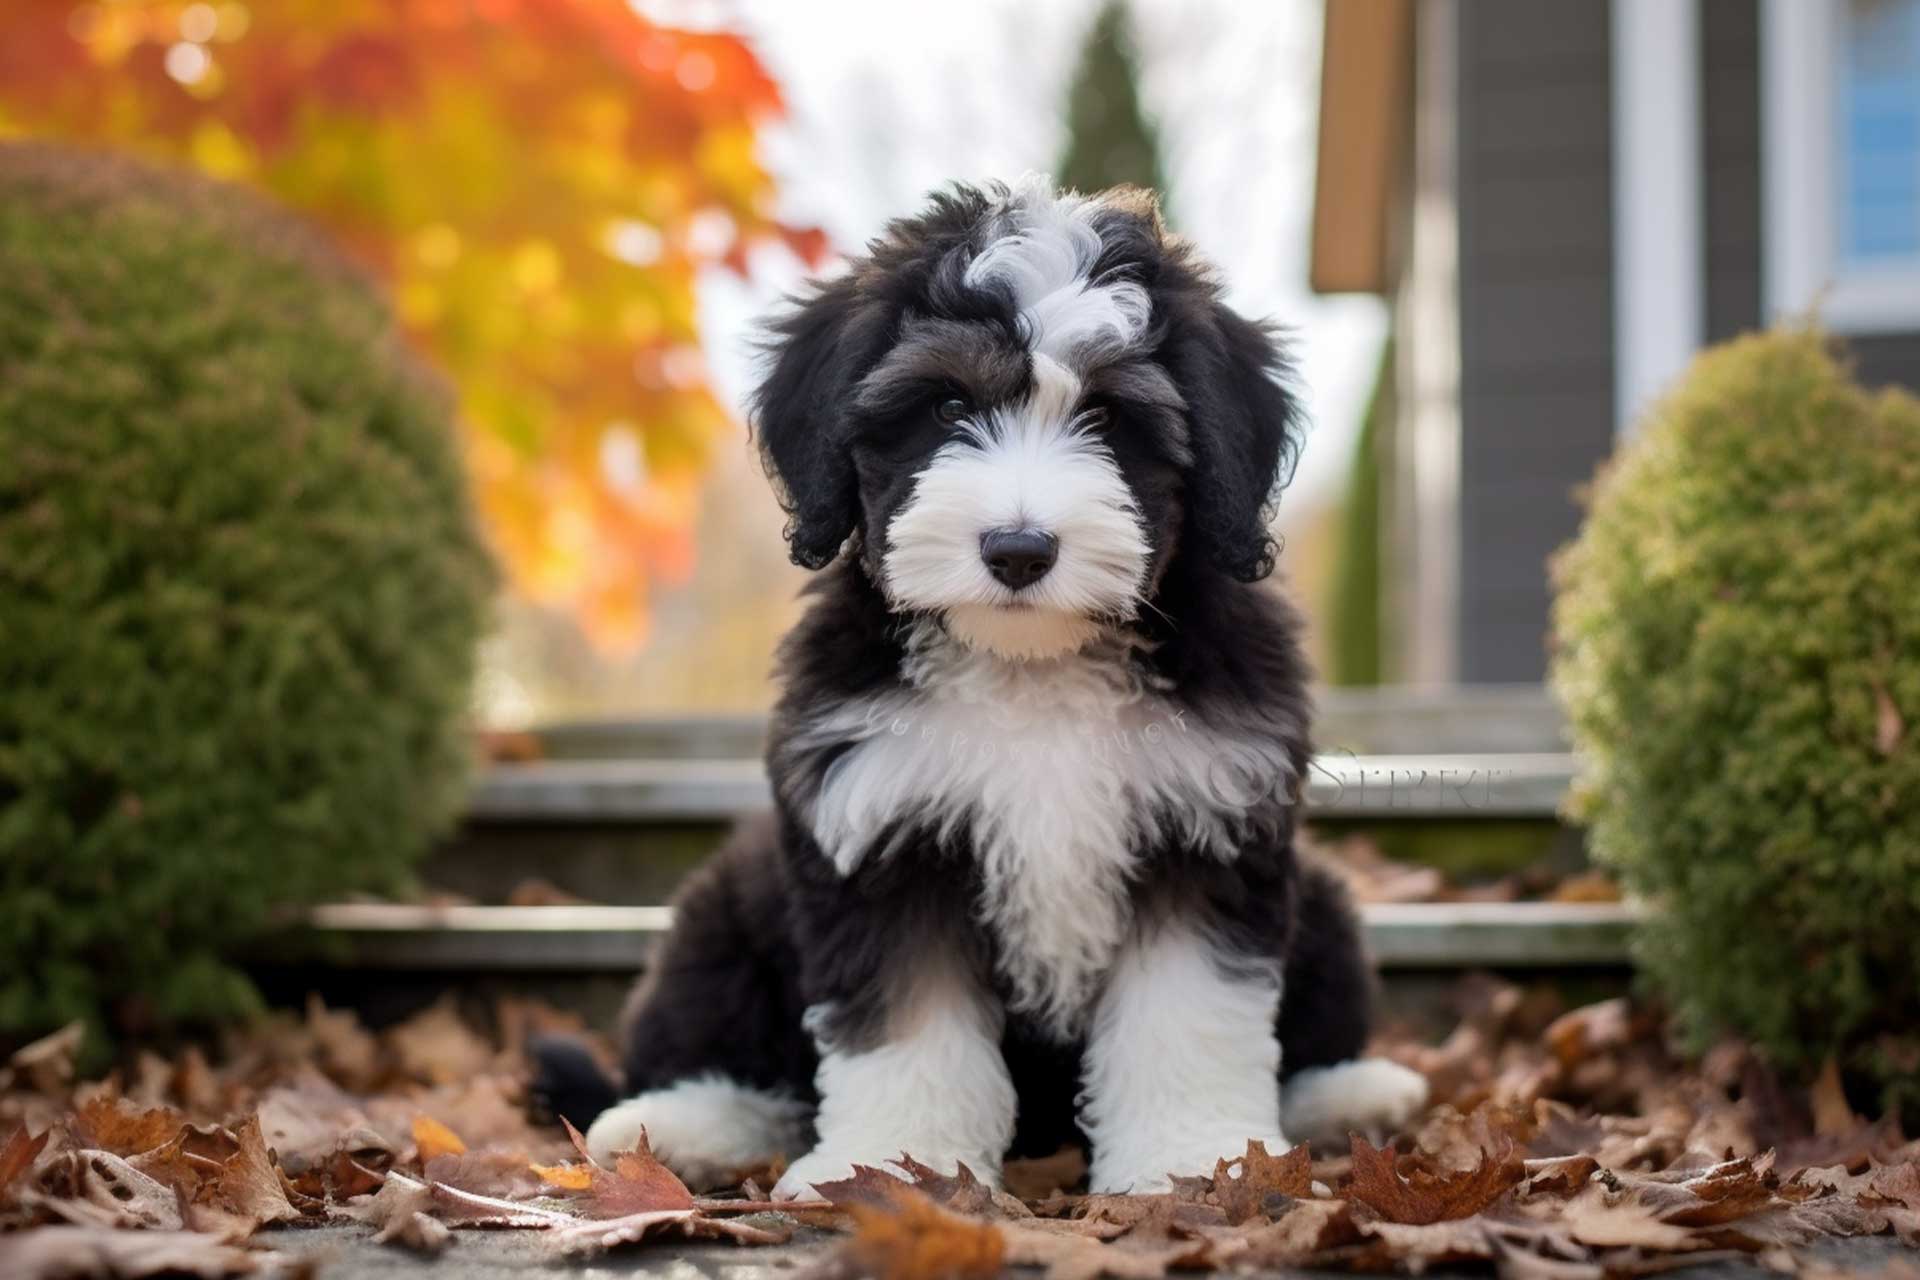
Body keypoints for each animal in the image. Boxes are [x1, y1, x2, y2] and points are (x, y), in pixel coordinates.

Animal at [537, 177, 1428, 1205]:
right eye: (946, 403)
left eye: (1110, 419)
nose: (1018, 549)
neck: (1031, 665)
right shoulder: (883, 832)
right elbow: (905, 1024)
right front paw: (893, 1164)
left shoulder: (1206, 827)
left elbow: (1189, 1008)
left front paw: (1194, 1161)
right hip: (718, 915)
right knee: (717, 1035)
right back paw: (678, 1128)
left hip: (1324, 904)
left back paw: (1355, 1094)